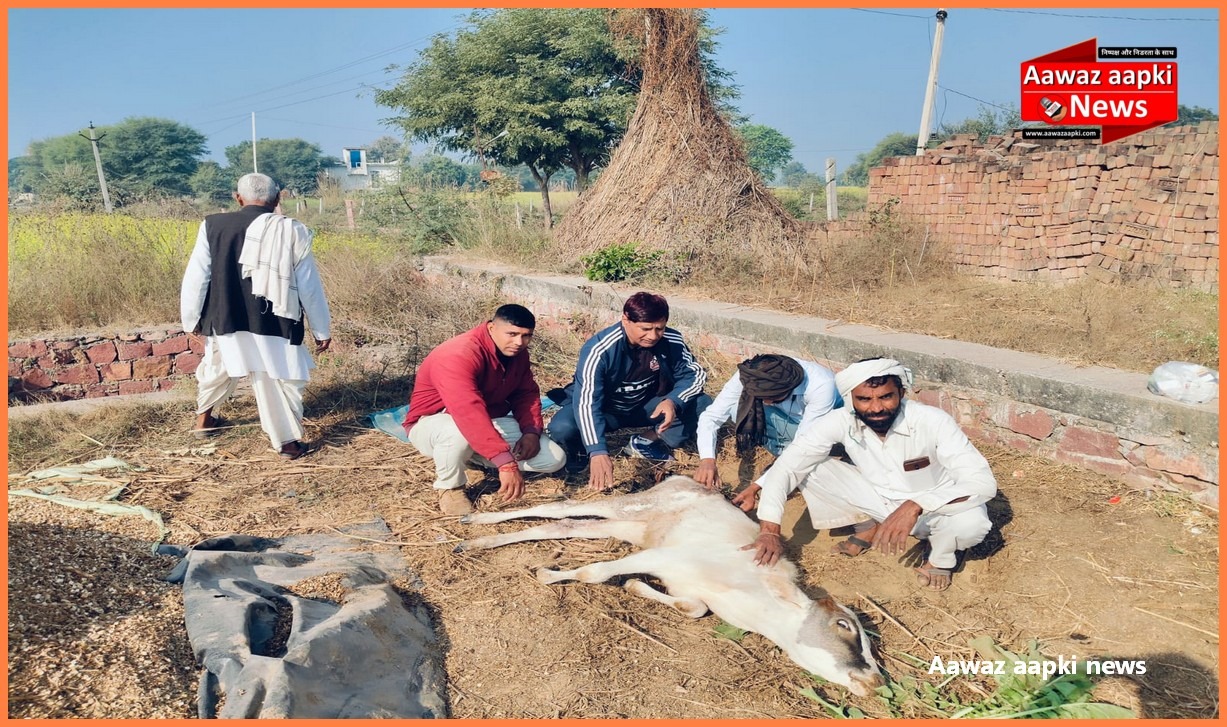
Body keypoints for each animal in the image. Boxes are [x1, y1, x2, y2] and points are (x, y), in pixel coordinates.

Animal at [456, 473, 888, 696]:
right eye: (843, 626)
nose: (876, 679)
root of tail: (682, 477)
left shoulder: (675, 575)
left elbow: (693, 607)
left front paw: (634, 587)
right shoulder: (662, 557)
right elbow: (595, 572)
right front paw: (549, 575)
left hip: (630, 526)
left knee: (561, 526)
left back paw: (478, 540)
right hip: (630, 508)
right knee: (558, 507)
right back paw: (477, 523)